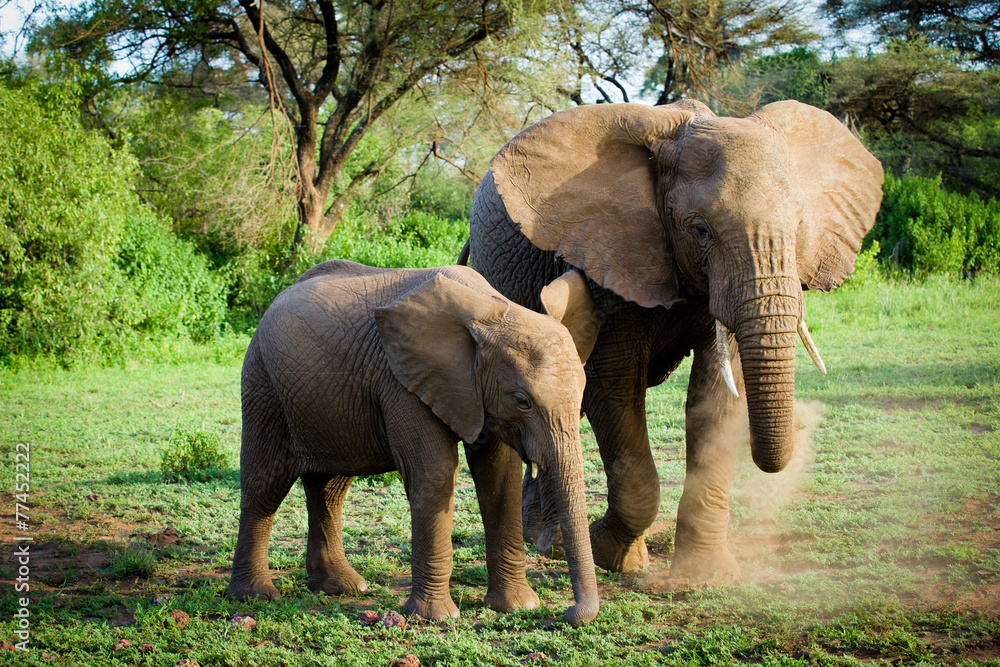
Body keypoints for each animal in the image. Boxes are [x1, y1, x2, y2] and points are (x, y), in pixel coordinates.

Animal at [229, 260, 600, 628]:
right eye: (522, 401)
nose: (568, 614)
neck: (491, 310)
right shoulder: (402, 382)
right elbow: (435, 473)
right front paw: (438, 617)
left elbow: (499, 475)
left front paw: (518, 607)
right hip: (263, 383)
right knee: (266, 485)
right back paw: (256, 596)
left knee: (330, 489)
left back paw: (343, 588)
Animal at [462, 99, 884, 580]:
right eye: (699, 229)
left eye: (799, 226)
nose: (803, 426)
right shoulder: (609, 255)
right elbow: (614, 383)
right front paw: (611, 556)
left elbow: (718, 390)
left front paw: (704, 575)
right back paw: (552, 542)